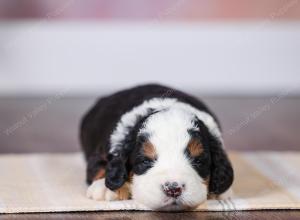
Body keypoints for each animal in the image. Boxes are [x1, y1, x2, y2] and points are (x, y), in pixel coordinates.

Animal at [80, 84, 234, 210]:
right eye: (145, 161)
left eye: (198, 161)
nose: (173, 189)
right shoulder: (101, 152)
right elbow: (99, 166)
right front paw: (104, 187)